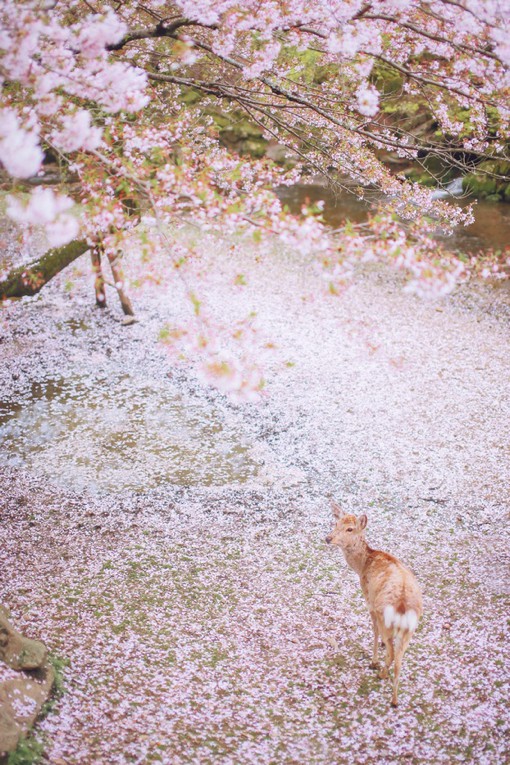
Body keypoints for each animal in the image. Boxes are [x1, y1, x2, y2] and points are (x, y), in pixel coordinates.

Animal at [326, 502, 422, 704]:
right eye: (336, 522)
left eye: (350, 528)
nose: (328, 538)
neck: (362, 565)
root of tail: (403, 608)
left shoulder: (368, 599)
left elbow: (374, 630)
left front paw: (374, 660)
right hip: (410, 629)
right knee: (399, 658)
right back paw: (394, 700)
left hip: (384, 616)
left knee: (392, 650)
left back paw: (381, 673)